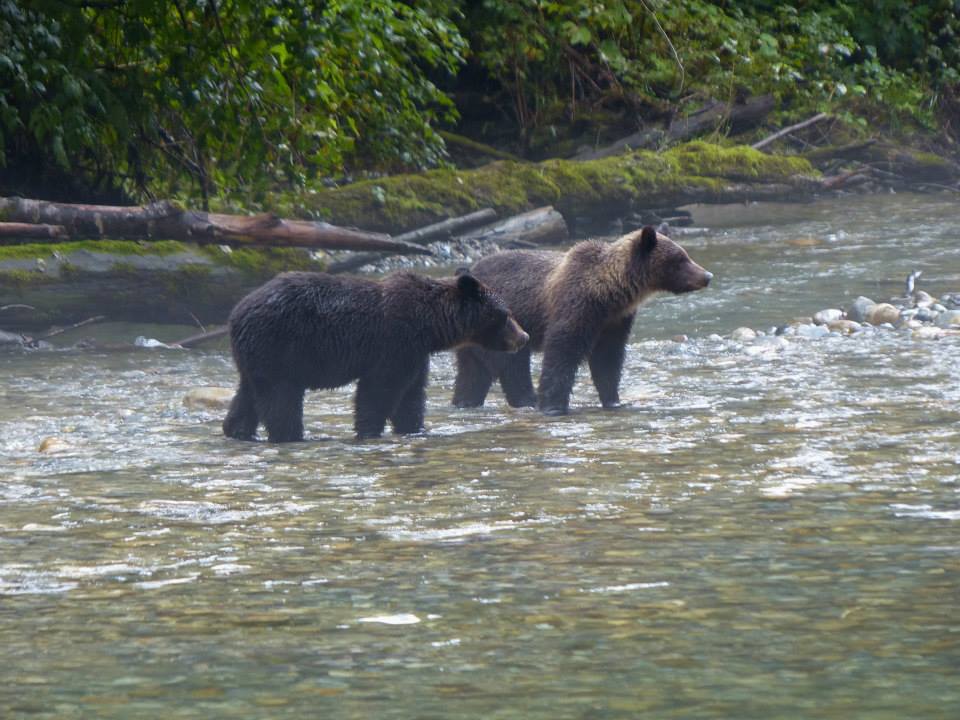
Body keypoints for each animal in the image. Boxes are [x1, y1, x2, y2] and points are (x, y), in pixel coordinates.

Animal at [223, 270, 528, 442]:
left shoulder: (416, 354)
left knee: (247, 396)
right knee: (281, 400)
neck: (430, 325)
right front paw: (370, 430)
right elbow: (379, 391)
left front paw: (414, 428)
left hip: (256, 359)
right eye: (505, 315)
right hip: (280, 351)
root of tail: (236, 313)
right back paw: (291, 435)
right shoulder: (394, 345)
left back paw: (236, 430)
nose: (523, 337)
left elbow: (411, 395)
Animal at [452, 225, 712, 415]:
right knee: (511, 365)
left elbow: (607, 360)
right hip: (501, 327)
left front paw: (613, 400)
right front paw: (553, 404)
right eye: (680, 258)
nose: (707, 275)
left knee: (471, 372)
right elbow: (562, 351)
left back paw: (464, 401)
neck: (608, 293)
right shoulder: (576, 306)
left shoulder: (614, 322)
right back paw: (527, 399)